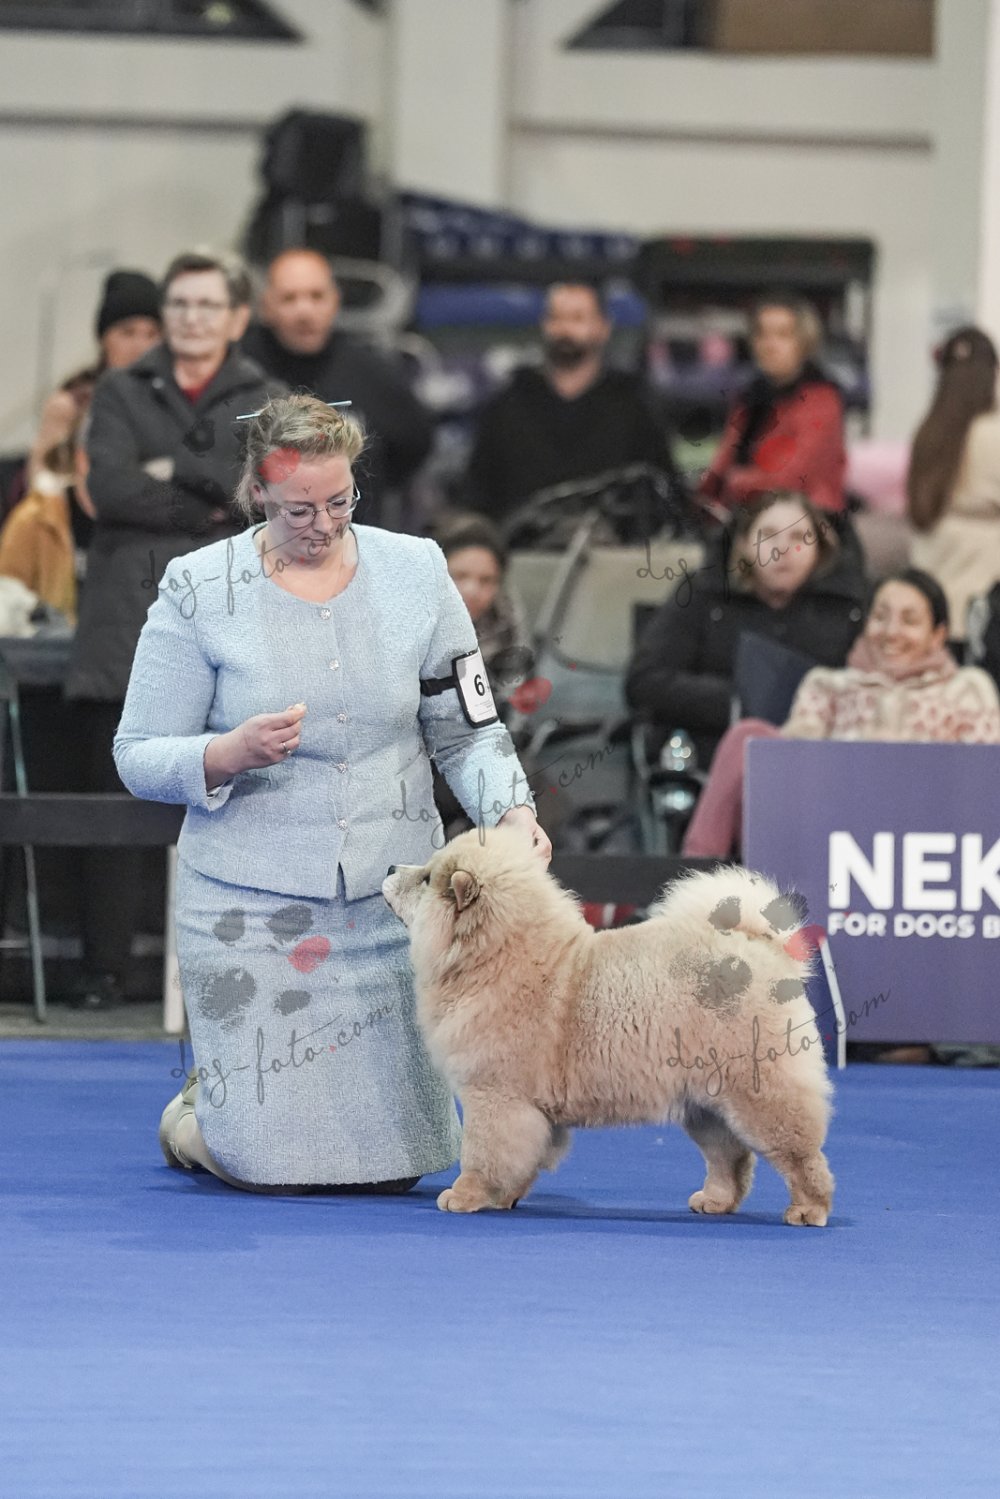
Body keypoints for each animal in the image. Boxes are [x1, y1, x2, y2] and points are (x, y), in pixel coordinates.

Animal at [383, 827, 834, 1225]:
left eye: (426, 879)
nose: (389, 868)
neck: (497, 957)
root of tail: (763, 948)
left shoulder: (495, 1096)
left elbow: (484, 1153)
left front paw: (465, 1195)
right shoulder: (524, 1110)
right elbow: (523, 1158)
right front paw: (504, 1197)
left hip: (760, 1091)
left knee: (800, 1154)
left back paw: (808, 1210)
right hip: (706, 1104)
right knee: (730, 1159)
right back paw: (715, 1201)